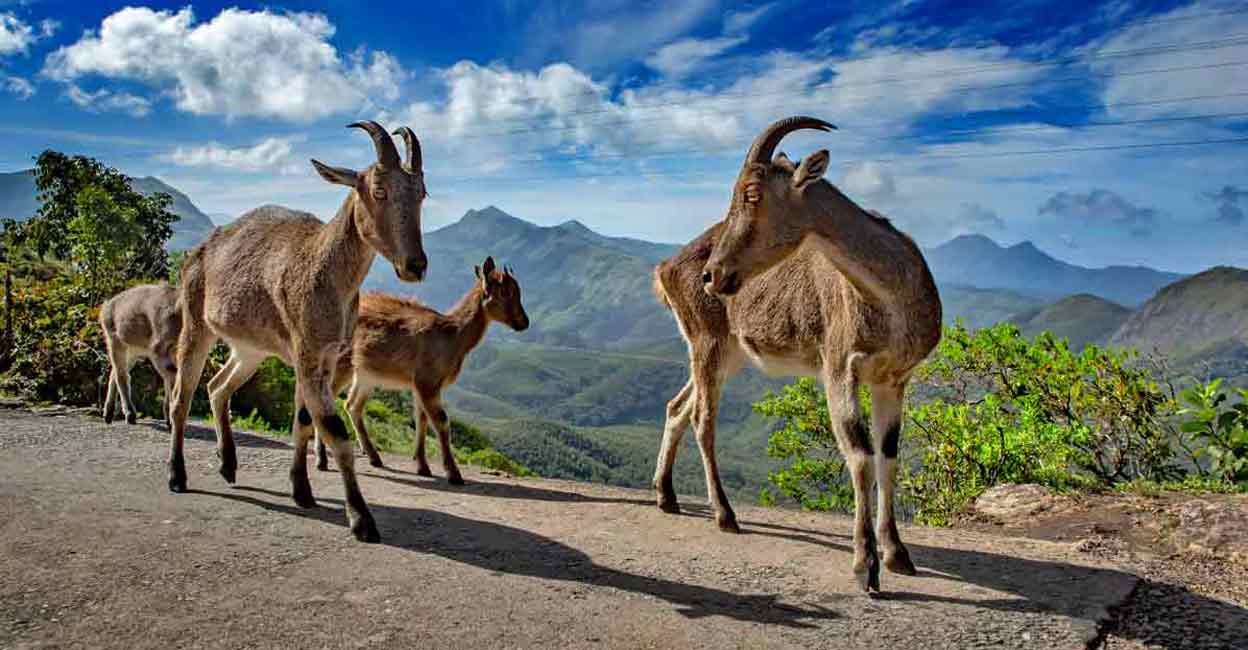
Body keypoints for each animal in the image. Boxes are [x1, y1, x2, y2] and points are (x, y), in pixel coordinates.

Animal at [98, 281, 182, 426]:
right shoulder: (158, 349)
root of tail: (105, 307)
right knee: (121, 375)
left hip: (133, 351)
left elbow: (170, 379)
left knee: (116, 372)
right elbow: (172, 378)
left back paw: (108, 415)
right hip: (114, 341)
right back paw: (129, 415)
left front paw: (168, 419)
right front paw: (171, 421)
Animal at [169, 121, 429, 541]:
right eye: (379, 190)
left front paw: (302, 491)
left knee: (218, 387)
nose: (415, 265)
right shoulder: (307, 354)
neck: (326, 272)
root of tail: (199, 251)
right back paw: (177, 476)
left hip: (250, 349)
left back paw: (228, 464)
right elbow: (335, 433)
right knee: (181, 397)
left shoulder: (325, 356)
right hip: (196, 325)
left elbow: (304, 424)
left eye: (422, 193)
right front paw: (362, 519)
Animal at [319, 255, 529, 479]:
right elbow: (441, 420)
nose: (524, 322)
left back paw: (374, 457)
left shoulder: (420, 384)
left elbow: (421, 420)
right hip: (340, 364)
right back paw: (322, 459)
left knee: (352, 405)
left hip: (365, 374)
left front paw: (423, 466)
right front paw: (453, 473)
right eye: (506, 292)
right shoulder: (427, 381)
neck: (453, 337)